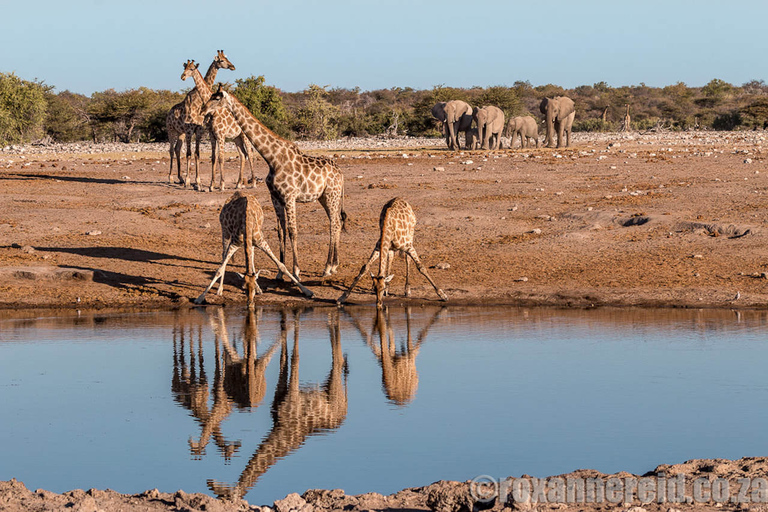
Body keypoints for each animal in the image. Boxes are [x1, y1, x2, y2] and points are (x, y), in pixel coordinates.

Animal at [168, 50, 237, 188]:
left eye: (226, 58)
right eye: (221, 60)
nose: (232, 66)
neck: (199, 101)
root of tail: (168, 113)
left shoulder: (199, 130)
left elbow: (197, 154)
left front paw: (197, 181)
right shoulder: (190, 130)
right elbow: (189, 154)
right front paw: (189, 181)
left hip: (180, 133)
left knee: (177, 149)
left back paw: (180, 178)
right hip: (171, 131)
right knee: (171, 150)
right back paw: (171, 178)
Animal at [200, 88, 346, 280]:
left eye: (216, 98)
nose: (203, 109)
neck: (272, 158)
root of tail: (341, 173)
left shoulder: (290, 196)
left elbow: (292, 230)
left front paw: (296, 271)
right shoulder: (275, 197)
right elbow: (281, 231)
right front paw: (280, 272)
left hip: (331, 195)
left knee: (334, 224)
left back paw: (328, 267)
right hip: (324, 197)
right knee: (336, 222)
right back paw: (334, 265)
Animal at [206, 308, 346, 500]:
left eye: (224, 497)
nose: (211, 483)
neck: (280, 428)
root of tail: (344, 411)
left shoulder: (292, 396)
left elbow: (295, 357)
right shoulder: (280, 394)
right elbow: (284, 359)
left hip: (333, 390)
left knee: (338, 361)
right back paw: (331, 321)